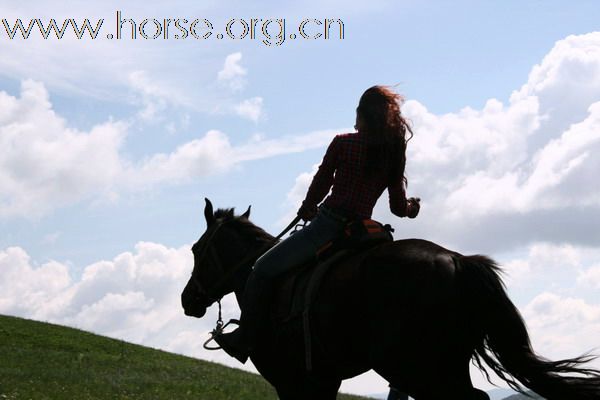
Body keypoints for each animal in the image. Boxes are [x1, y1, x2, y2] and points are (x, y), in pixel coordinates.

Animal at [182, 200, 600, 400]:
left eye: (196, 249)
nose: (188, 299)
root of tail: (458, 261)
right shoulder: (324, 380)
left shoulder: (291, 381)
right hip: (442, 366)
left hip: (419, 370)